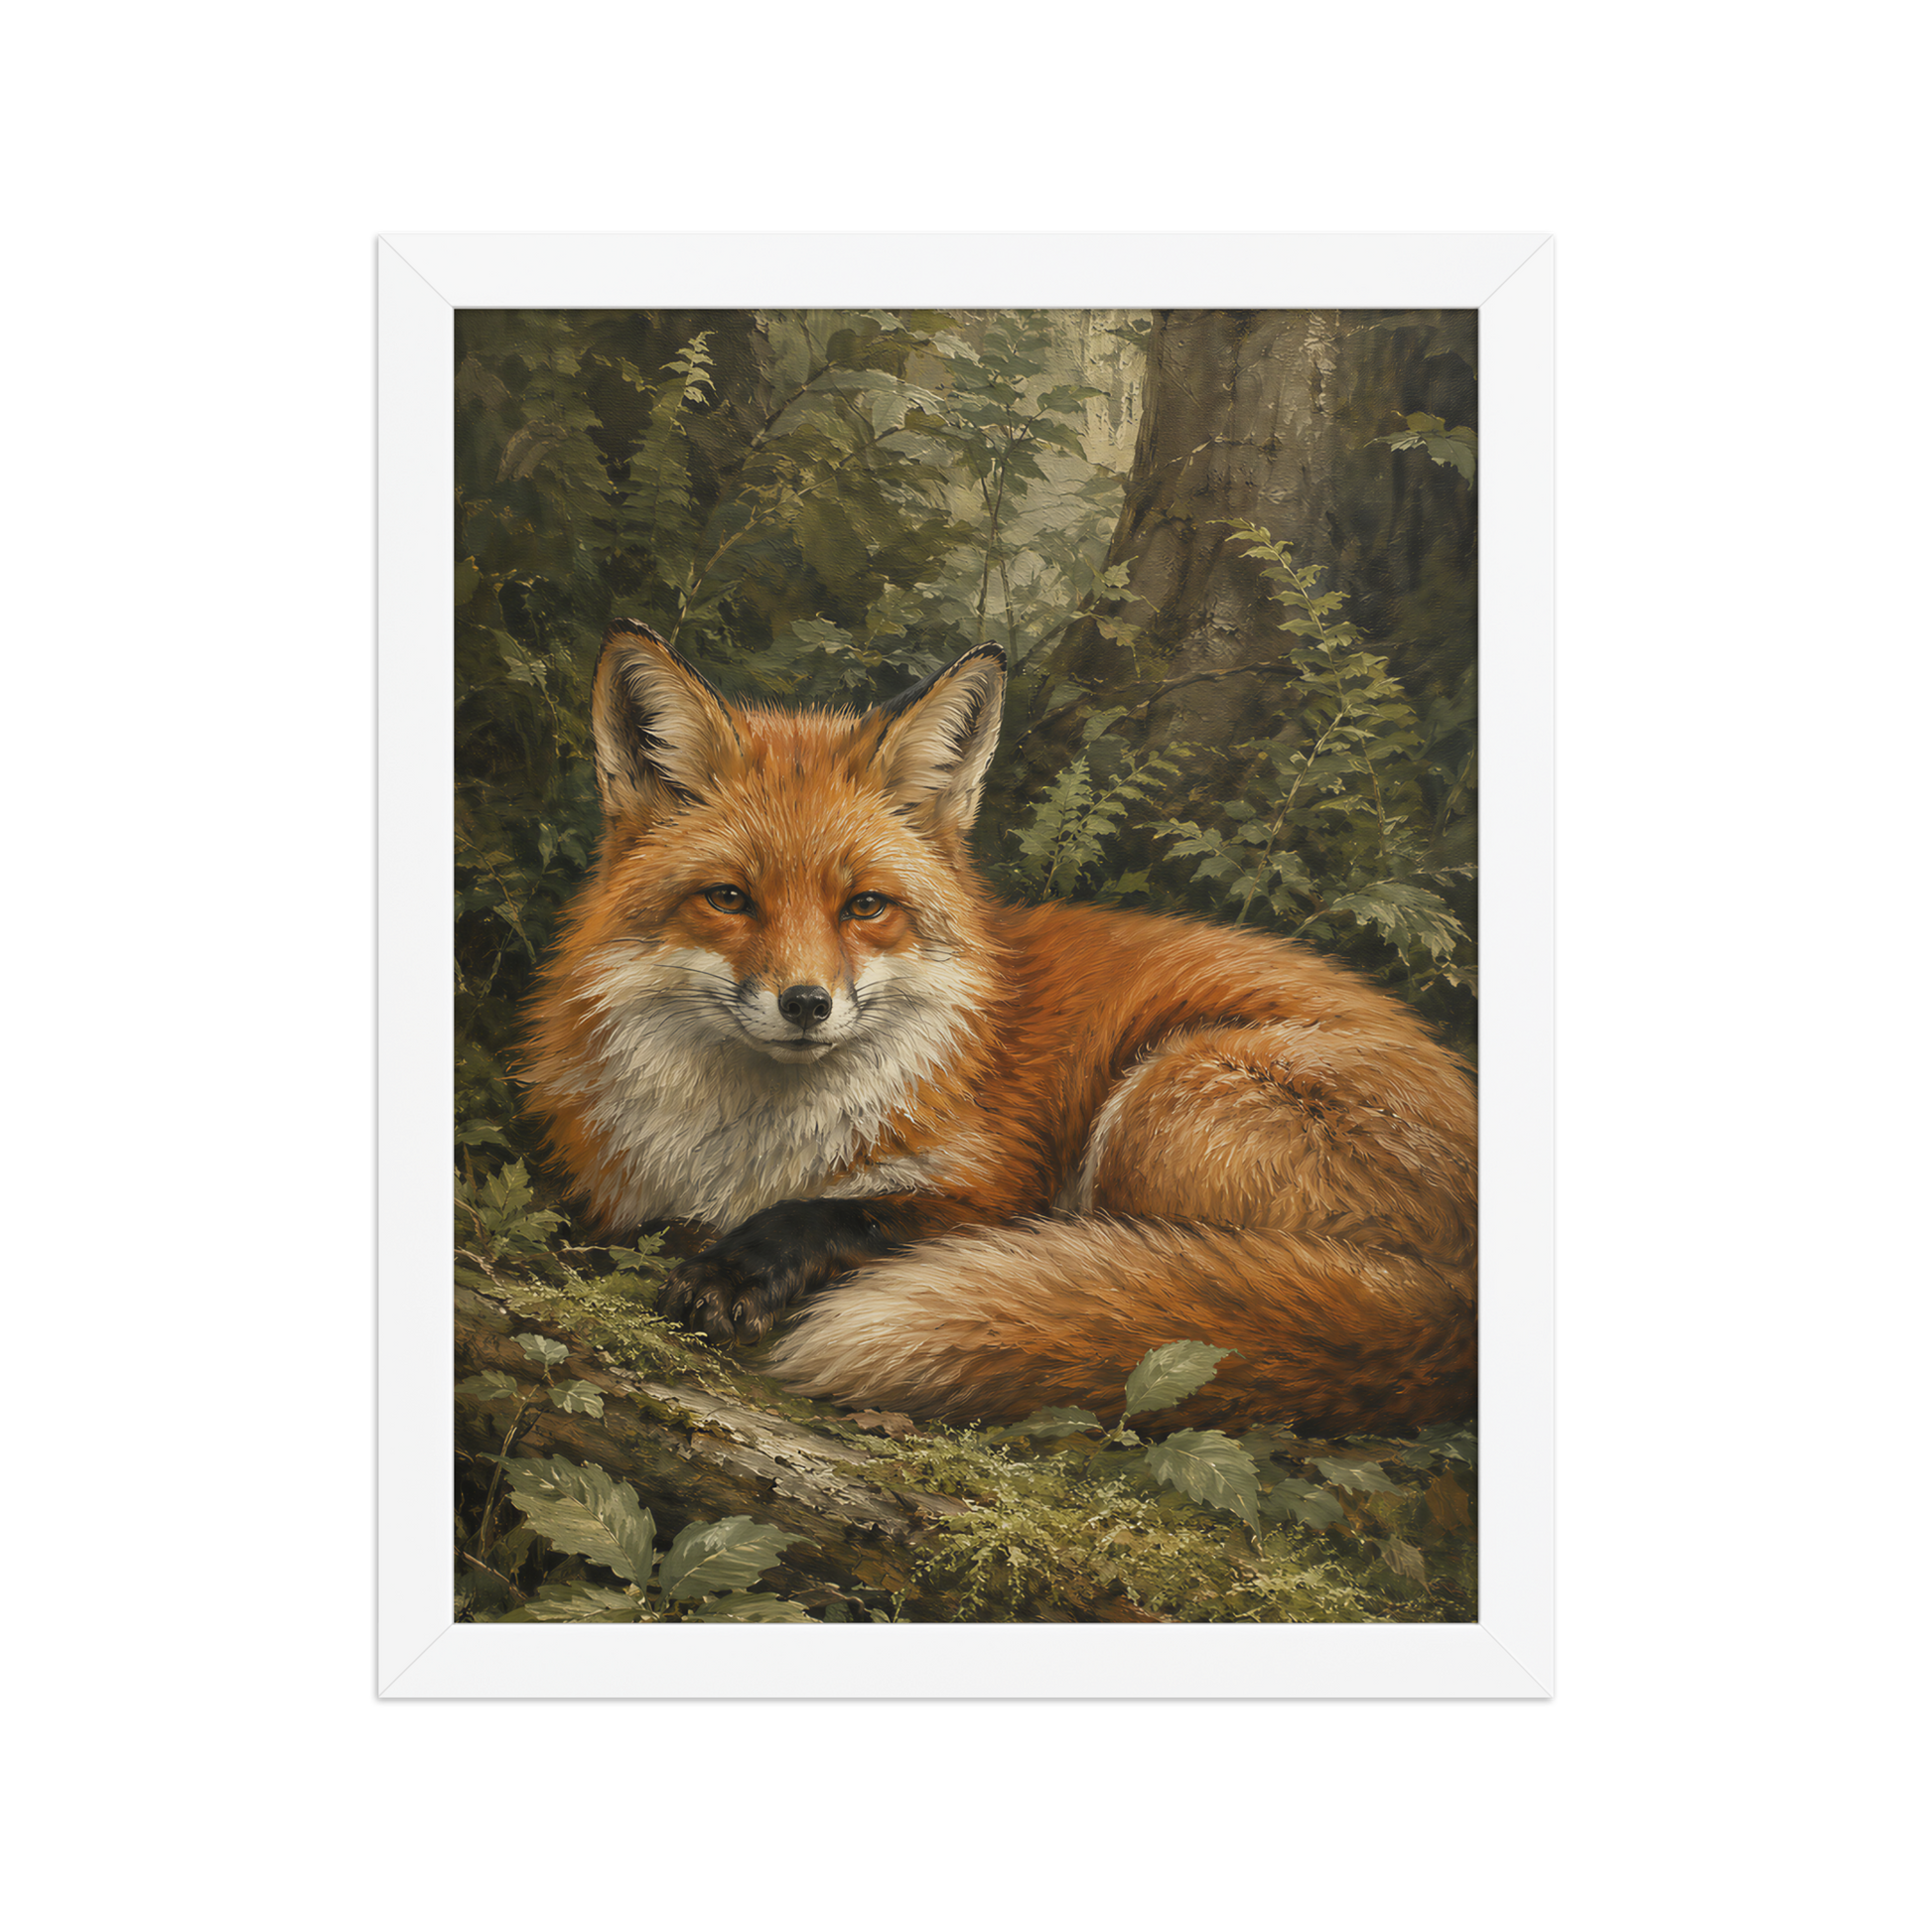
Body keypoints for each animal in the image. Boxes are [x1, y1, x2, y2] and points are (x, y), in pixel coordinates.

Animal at [521, 618, 1475, 1438]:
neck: (748, 1148)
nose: (806, 1004)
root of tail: (1458, 1308)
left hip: (1160, 1101)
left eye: (865, 906)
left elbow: (851, 1216)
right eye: (729, 898)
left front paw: (738, 1268)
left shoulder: (995, 1192)